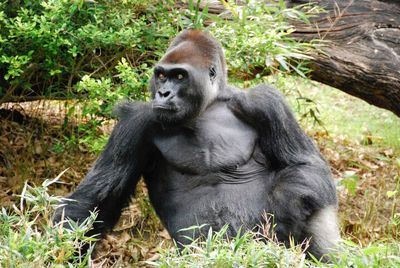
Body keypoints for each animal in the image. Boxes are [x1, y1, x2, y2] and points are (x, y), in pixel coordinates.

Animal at [54, 28, 340, 260]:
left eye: (180, 76)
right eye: (161, 75)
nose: (163, 93)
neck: (207, 106)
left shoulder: (265, 102)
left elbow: (304, 166)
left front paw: (282, 207)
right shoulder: (136, 122)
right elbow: (97, 199)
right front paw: (61, 250)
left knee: (312, 198)